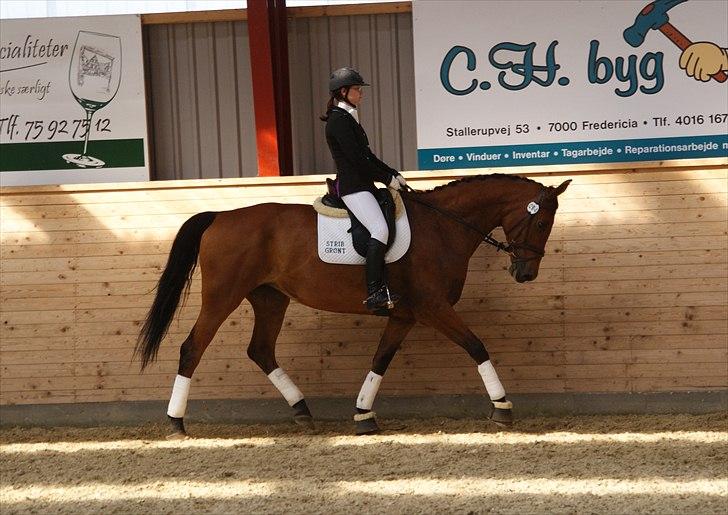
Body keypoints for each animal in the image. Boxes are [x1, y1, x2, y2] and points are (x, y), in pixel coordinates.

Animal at [135, 173, 568, 436]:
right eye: (541, 223)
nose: (525, 273)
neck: (443, 226)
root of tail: (220, 216)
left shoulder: (404, 314)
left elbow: (380, 359)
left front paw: (363, 413)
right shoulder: (433, 308)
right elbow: (477, 346)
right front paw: (502, 406)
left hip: (270, 298)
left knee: (260, 350)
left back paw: (302, 411)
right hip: (223, 295)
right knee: (193, 347)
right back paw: (176, 421)